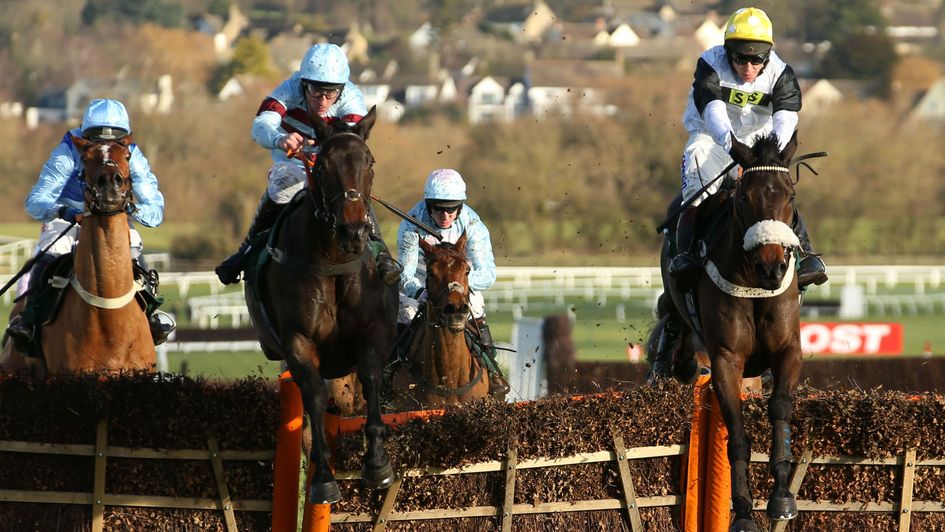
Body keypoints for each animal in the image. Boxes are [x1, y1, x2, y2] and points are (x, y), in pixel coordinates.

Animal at [243, 107, 396, 504]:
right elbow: (312, 394)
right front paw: (324, 478)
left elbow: (372, 378)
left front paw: (377, 464)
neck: (333, 263)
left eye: (369, 161)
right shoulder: (298, 342)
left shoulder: (373, 333)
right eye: (323, 164)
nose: (354, 231)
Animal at [649, 132, 804, 531]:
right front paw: (744, 512)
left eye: (790, 196)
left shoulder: (788, 350)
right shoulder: (726, 359)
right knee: (675, 329)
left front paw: (782, 496)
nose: (772, 267)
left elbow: (780, 408)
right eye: (745, 198)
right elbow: (736, 434)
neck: (754, 282)